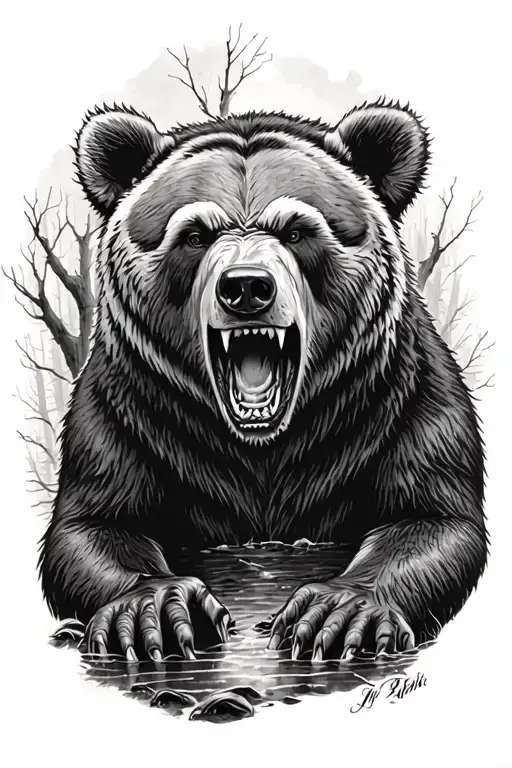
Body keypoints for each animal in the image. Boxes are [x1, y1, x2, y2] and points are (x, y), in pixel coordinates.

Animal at [39, 100, 488, 663]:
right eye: (195, 234)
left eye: (296, 230)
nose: (247, 287)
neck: (262, 443)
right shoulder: (132, 410)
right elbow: (95, 525)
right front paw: (157, 609)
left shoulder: (397, 400)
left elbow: (431, 518)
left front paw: (336, 614)